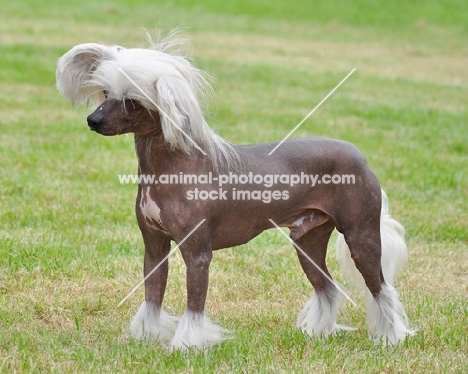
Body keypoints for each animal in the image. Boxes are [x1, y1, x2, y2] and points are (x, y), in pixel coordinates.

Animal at [56, 29, 414, 350]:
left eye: (131, 101)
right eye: (105, 93)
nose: (92, 120)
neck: (174, 169)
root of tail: (360, 155)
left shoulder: (198, 253)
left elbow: (194, 304)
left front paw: (187, 345)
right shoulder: (154, 248)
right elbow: (152, 297)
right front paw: (146, 338)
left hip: (360, 235)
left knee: (381, 289)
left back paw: (391, 338)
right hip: (307, 240)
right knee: (327, 287)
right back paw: (319, 332)